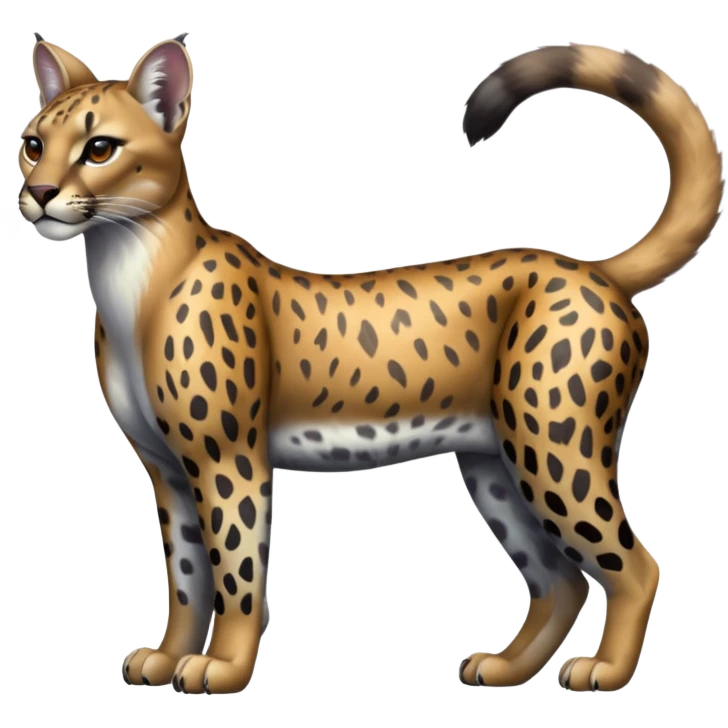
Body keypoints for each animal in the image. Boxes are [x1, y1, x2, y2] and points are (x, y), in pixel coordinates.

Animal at [15, 34, 724, 694]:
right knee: (561, 579)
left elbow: (237, 575)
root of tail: (590, 268)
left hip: (551, 448)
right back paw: (506, 667)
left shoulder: (228, 459)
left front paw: (223, 667)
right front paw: (167, 657)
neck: (130, 267)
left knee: (634, 566)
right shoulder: (166, 469)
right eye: (33, 143)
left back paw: (605, 670)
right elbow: (187, 578)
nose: (40, 193)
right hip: (494, 462)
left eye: (99, 148)